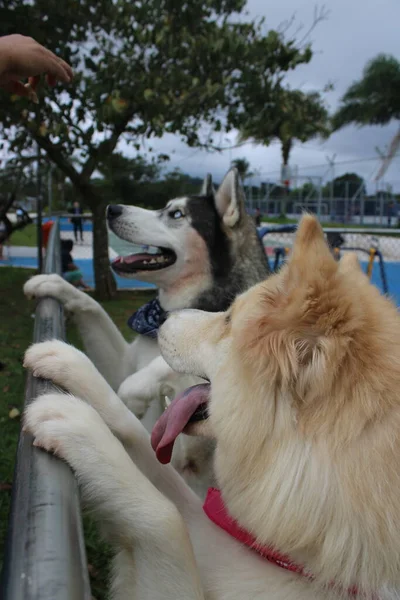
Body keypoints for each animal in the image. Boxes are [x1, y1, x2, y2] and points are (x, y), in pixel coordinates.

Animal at [22, 216, 400, 600]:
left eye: (228, 318)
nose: (165, 319)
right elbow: (136, 436)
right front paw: (70, 362)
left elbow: (164, 517)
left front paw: (79, 427)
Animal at [24, 168, 268, 496]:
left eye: (176, 213)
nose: (111, 209)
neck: (160, 319)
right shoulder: (122, 362)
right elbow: (93, 307)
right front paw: (54, 284)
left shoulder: (191, 460)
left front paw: (136, 389)